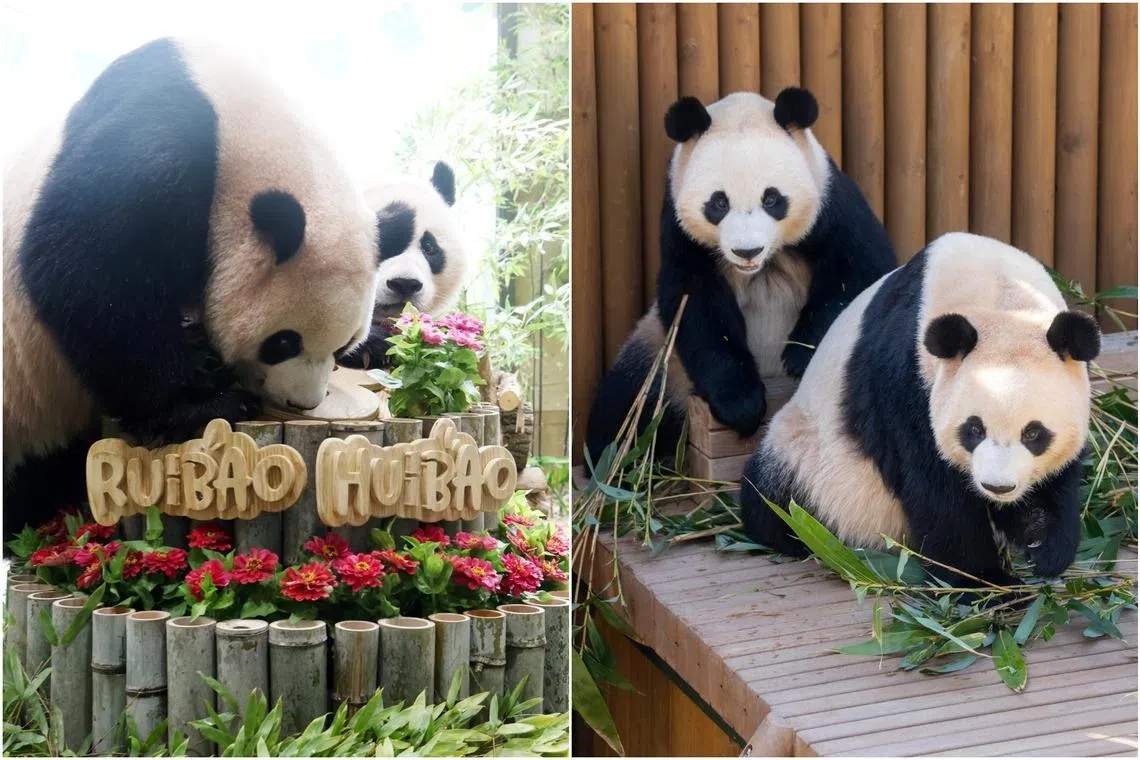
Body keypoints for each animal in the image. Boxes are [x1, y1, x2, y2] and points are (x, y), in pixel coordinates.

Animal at [3, 38, 379, 536]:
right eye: (283, 342)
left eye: (342, 347)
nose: (301, 402)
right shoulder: (163, 143)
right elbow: (81, 269)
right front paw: (204, 403)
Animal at [585, 88, 896, 465]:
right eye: (718, 203)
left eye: (772, 199)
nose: (747, 251)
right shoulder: (680, 234)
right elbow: (697, 307)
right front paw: (742, 405)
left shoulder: (832, 205)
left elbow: (858, 272)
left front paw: (800, 356)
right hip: (661, 357)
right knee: (626, 400)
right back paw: (611, 457)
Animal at [740, 232, 1101, 587]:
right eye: (973, 429)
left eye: (1034, 434)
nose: (998, 487)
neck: (1001, 298)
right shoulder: (905, 377)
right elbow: (934, 488)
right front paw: (984, 582)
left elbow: (1056, 480)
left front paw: (1043, 547)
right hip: (808, 455)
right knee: (773, 498)